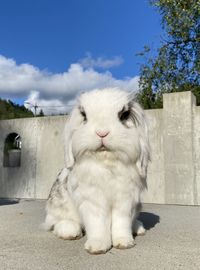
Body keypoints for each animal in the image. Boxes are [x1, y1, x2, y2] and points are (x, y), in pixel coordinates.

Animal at [44, 87, 150, 254]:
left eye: (124, 115)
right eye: (84, 116)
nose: (102, 132)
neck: (106, 161)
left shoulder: (125, 200)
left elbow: (121, 223)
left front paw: (124, 243)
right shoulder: (92, 200)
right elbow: (97, 224)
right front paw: (97, 247)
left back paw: (138, 228)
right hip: (57, 207)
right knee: (56, 223)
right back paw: (70, 231)